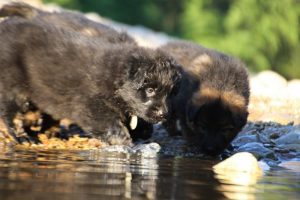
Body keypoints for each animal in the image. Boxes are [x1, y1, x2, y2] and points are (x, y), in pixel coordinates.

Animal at [0, 17, 179, 145]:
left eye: (169, 93)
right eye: (150, 90)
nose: (163, 114)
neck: (114, 77)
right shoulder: (89, 103)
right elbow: (107, 122)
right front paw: (122, 140)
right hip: (14, 86)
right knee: (11, 113)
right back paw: (23, 137)